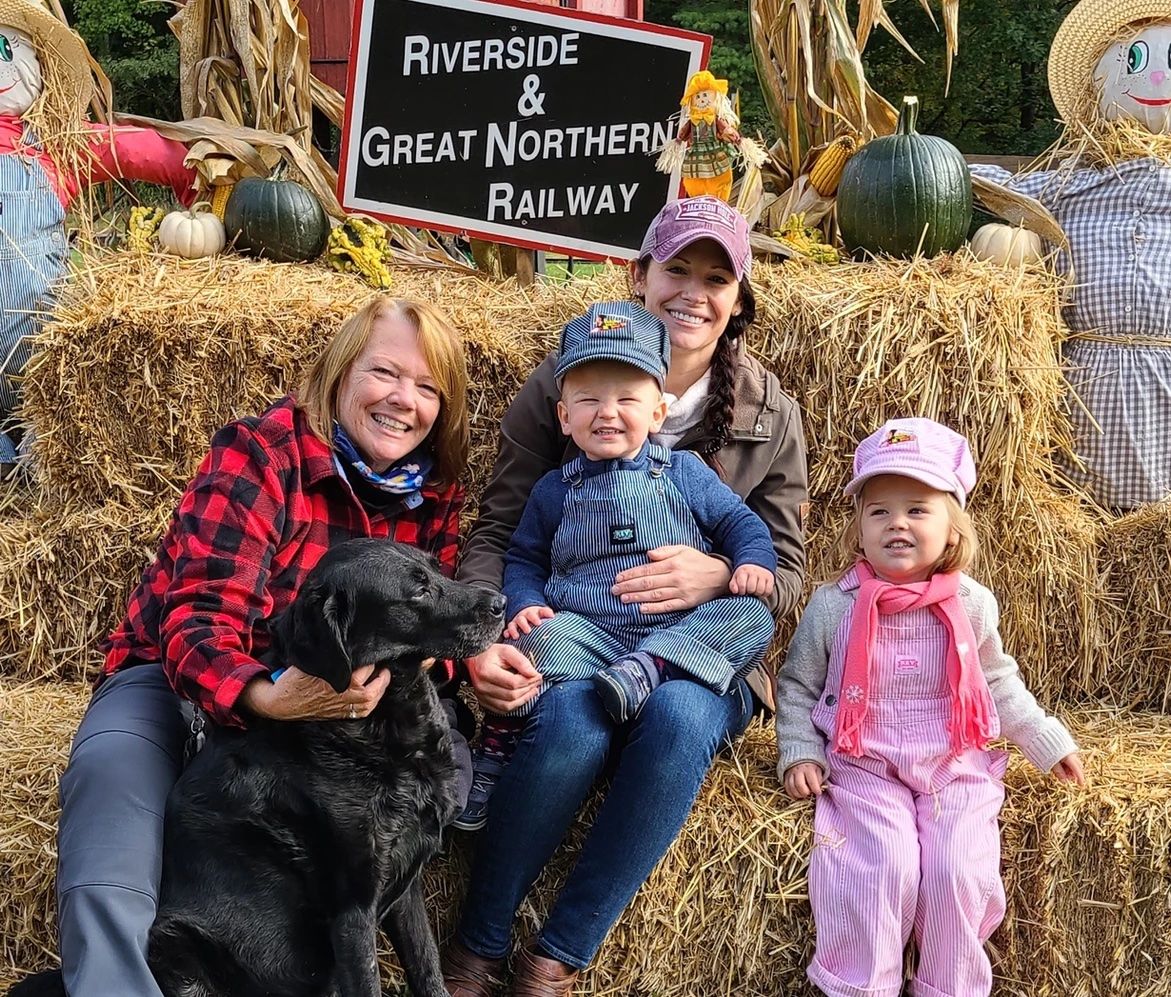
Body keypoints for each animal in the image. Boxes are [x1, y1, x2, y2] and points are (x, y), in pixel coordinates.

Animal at [10, 541, 503, 993]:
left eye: (436, 568)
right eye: (417, 590)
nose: (499, 605)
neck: (385, 728)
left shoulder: (406, 883)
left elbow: (428, 969)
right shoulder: (352, 904)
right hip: (174, 943)